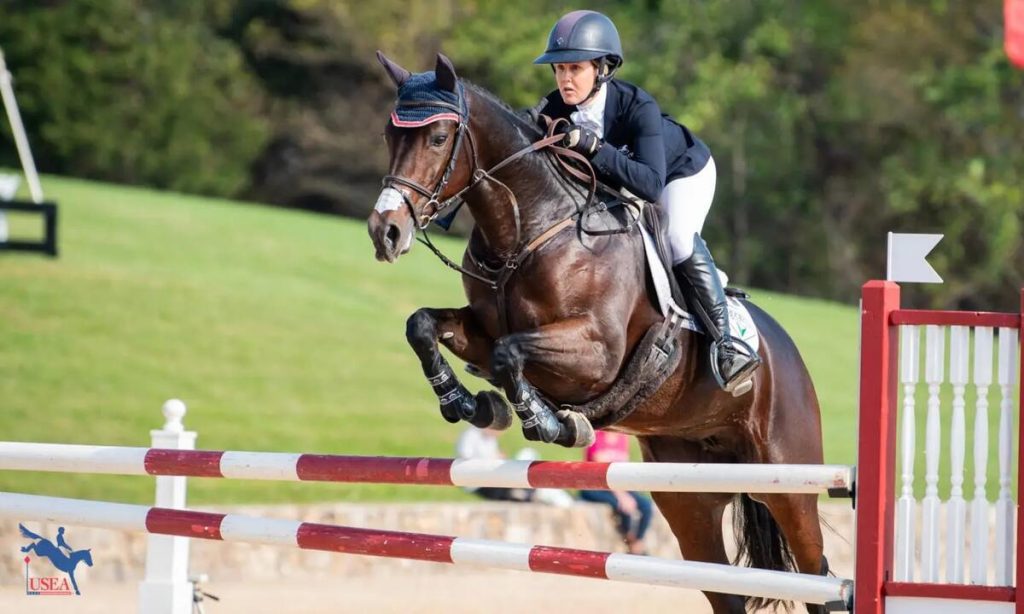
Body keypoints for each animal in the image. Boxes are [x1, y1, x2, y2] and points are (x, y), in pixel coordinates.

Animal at [367, 52, 829, 614]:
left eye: (437, 138)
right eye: (390, 135)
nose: (385, 232)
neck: (529, 227)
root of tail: (790, 353)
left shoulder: (597, 354)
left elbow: (508, 355)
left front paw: (548, 421)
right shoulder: (479, 327)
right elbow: (425, 326)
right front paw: (470, 404)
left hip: (789, 479)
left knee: (818, 576)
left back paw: (733, 356)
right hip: (691, 495)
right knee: (724, 586)